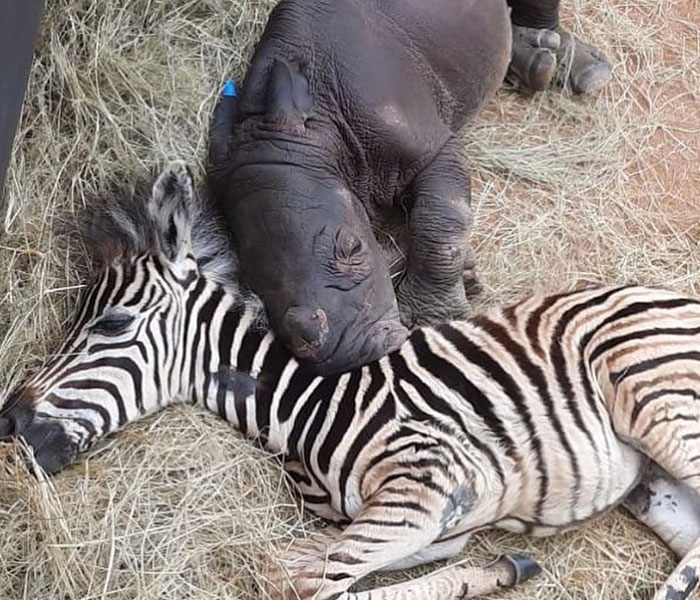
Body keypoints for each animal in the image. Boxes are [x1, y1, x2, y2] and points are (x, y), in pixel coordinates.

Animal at [4, 162, 700, 596]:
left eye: (113, 324)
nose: (9, 421)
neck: (308, 406)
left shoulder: (427, 490)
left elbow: (299, 580)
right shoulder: (431, 524)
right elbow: (312, 567)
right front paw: (504, 567)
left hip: (658, 401)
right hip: (653, 486)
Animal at [211, 0, 512, 376]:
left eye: (353, 248)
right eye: (251, 285)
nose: (349, 355)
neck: (320, 129)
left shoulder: (433, 149)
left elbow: (440, 224)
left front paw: (432, 319)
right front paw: (467, 275)